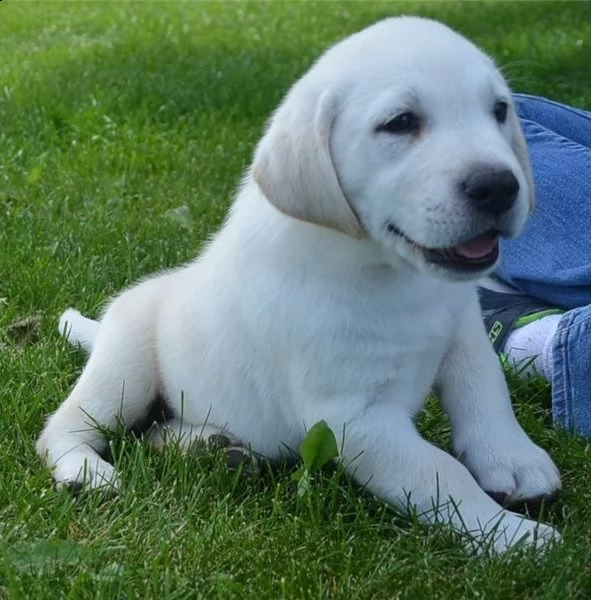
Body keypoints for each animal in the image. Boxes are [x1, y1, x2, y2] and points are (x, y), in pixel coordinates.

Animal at [38, 17, 564, 552]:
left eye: (500, 110)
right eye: (400, 122)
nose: (499, 186)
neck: (391, 273)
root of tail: (105, 326)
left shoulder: (462, 328)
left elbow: (485, 387)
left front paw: (513, 459)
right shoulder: (356, 418)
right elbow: (440, 473)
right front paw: (515, 537)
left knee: (155, 431)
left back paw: (209, 445)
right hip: (125, 372)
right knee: (65, 426)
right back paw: (85, 471)